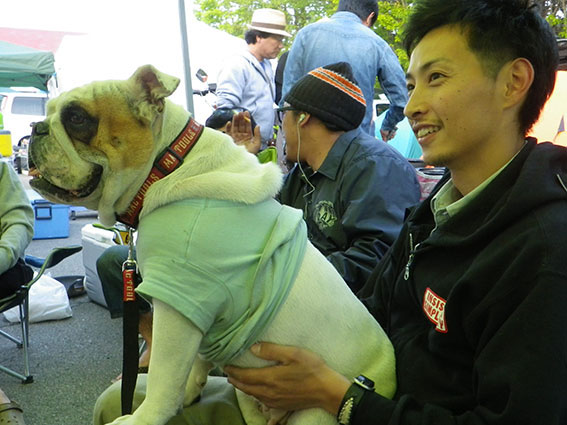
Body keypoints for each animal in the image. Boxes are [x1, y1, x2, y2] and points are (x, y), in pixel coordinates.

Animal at [28, 65, 396, 425]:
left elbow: (163, 377)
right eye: (49, 112)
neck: (167, 166)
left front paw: (143, 417)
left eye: (77, 118)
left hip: (315, 412)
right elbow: (194, 362)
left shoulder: (177, 304)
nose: (36, 127)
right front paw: (190, 390)